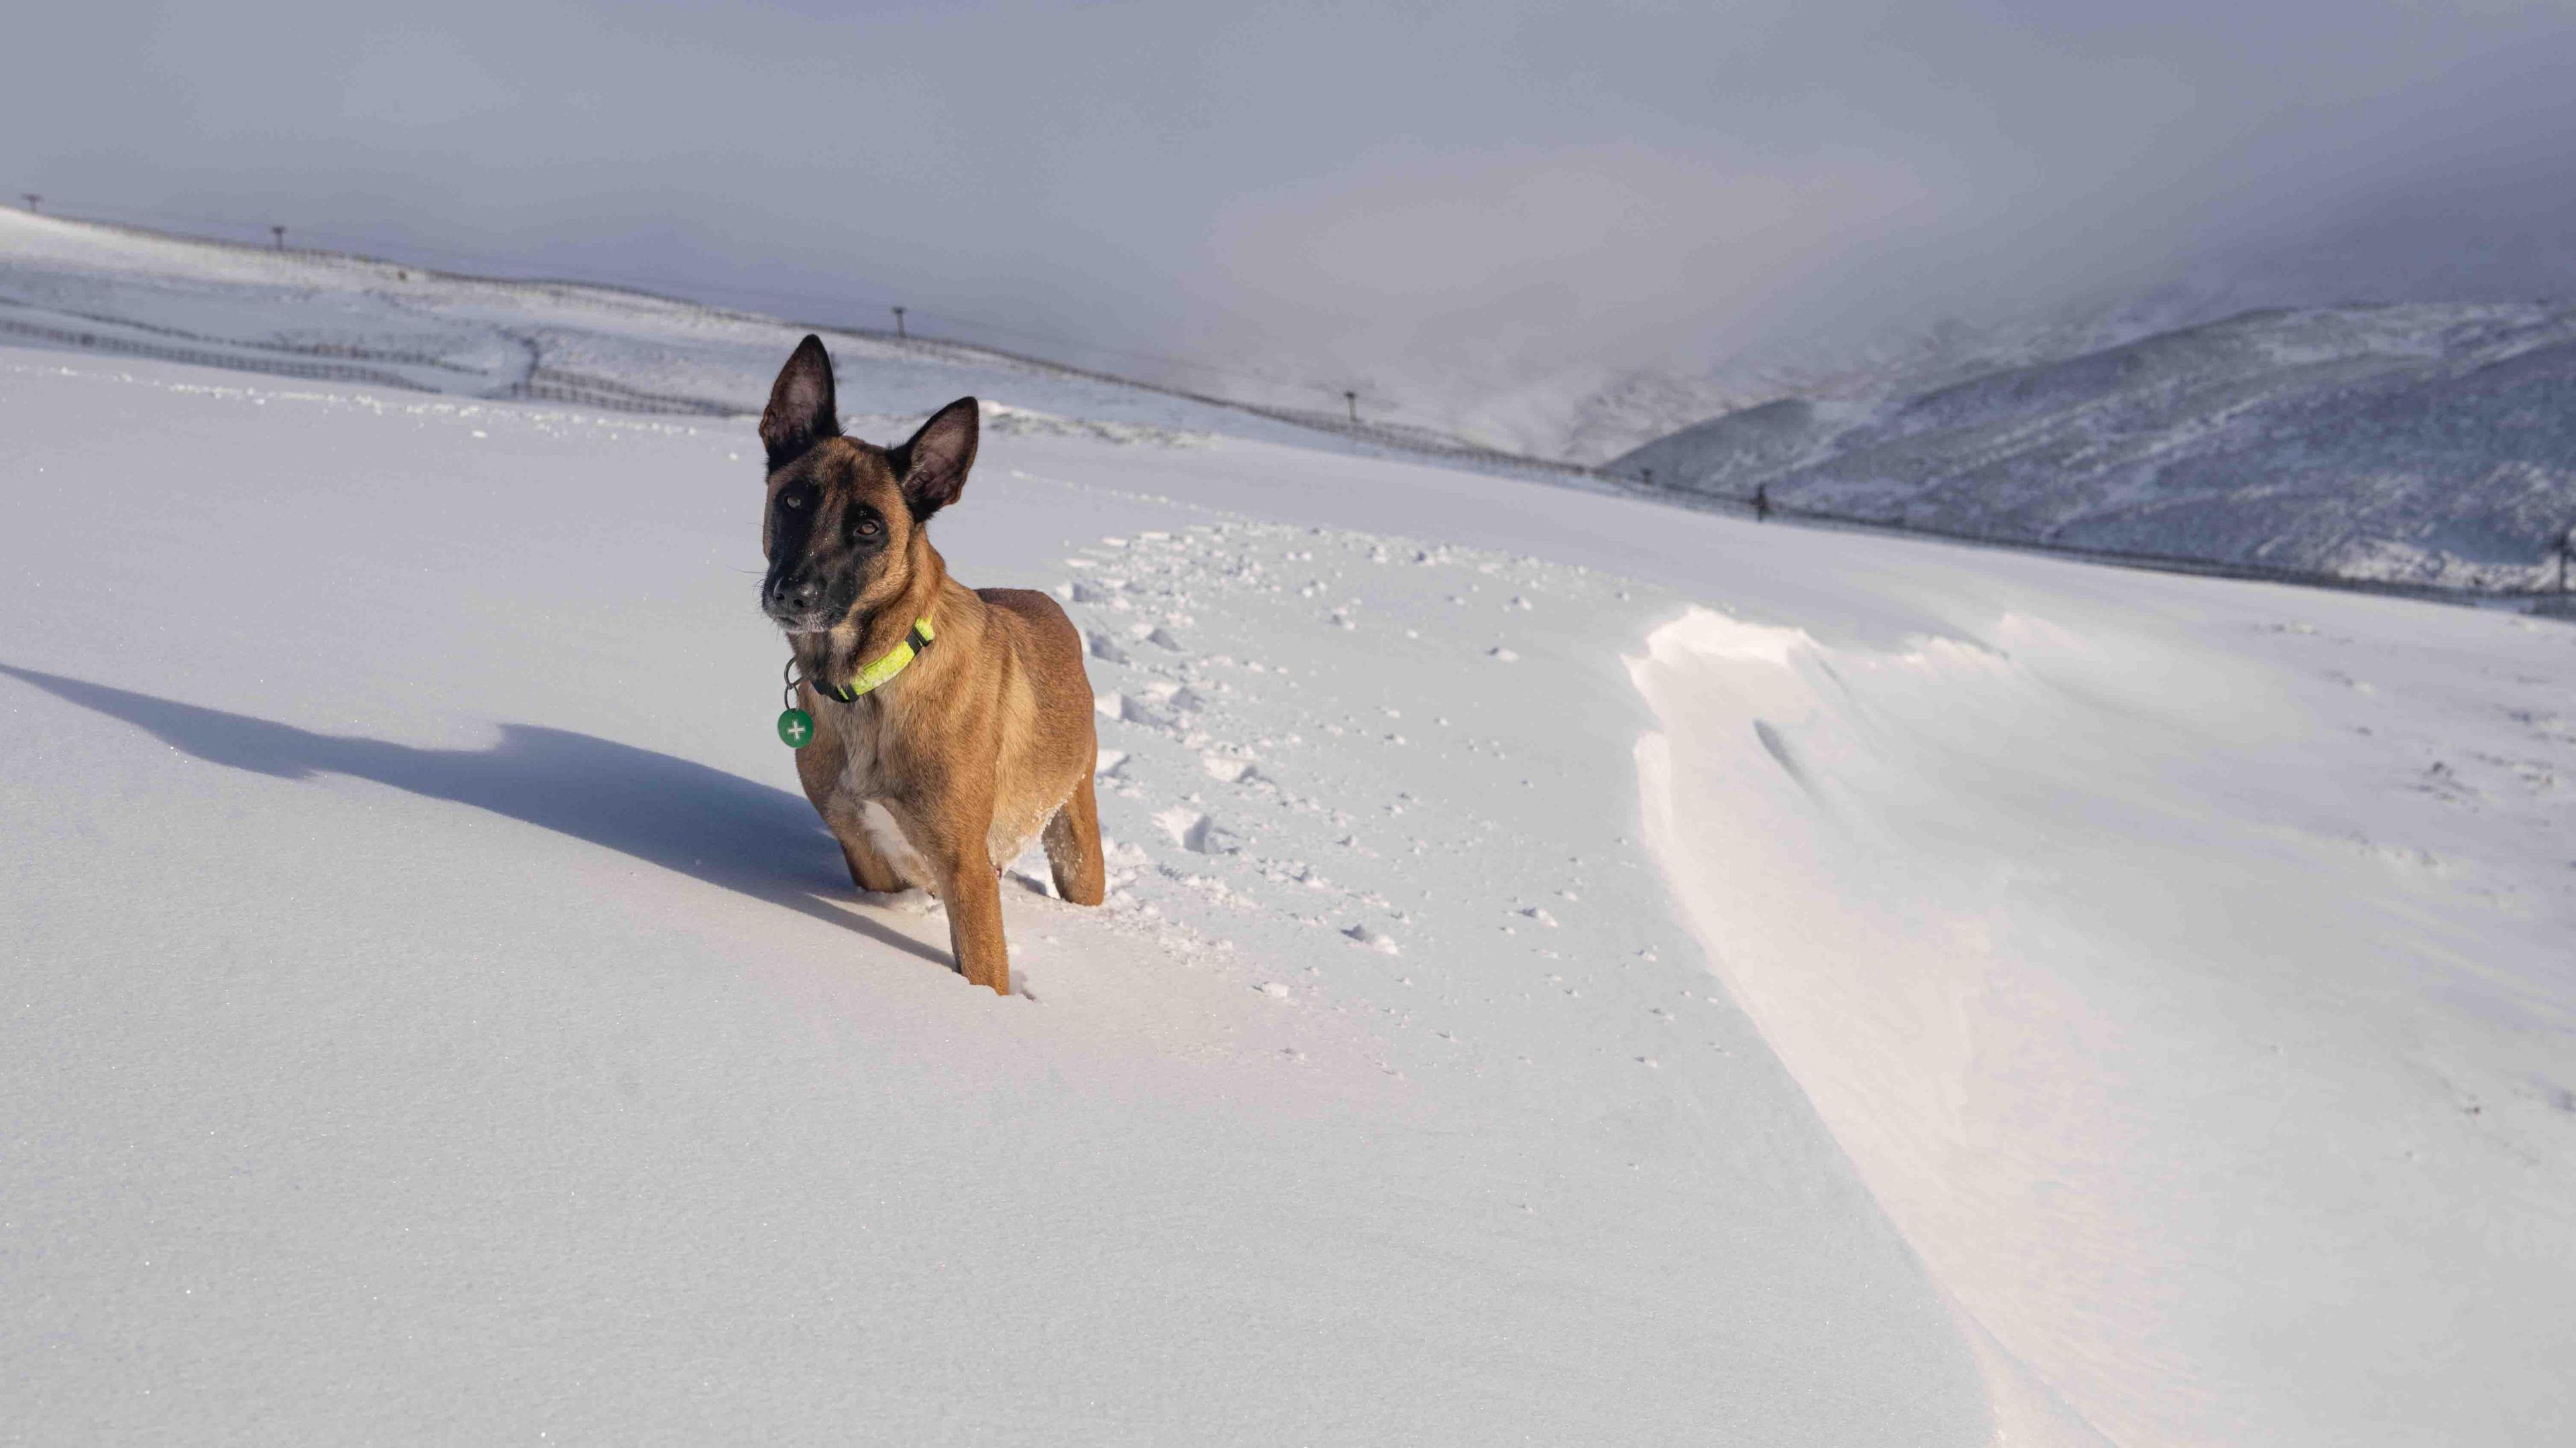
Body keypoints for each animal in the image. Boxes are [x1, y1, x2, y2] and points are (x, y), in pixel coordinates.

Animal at [752, 332, 1097, 984]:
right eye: (792, 500)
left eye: (868, 527)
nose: (792, 594)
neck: (870, 683)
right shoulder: (866, 856)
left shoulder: (967, 872)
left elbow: (984, 972)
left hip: (1076, 837)